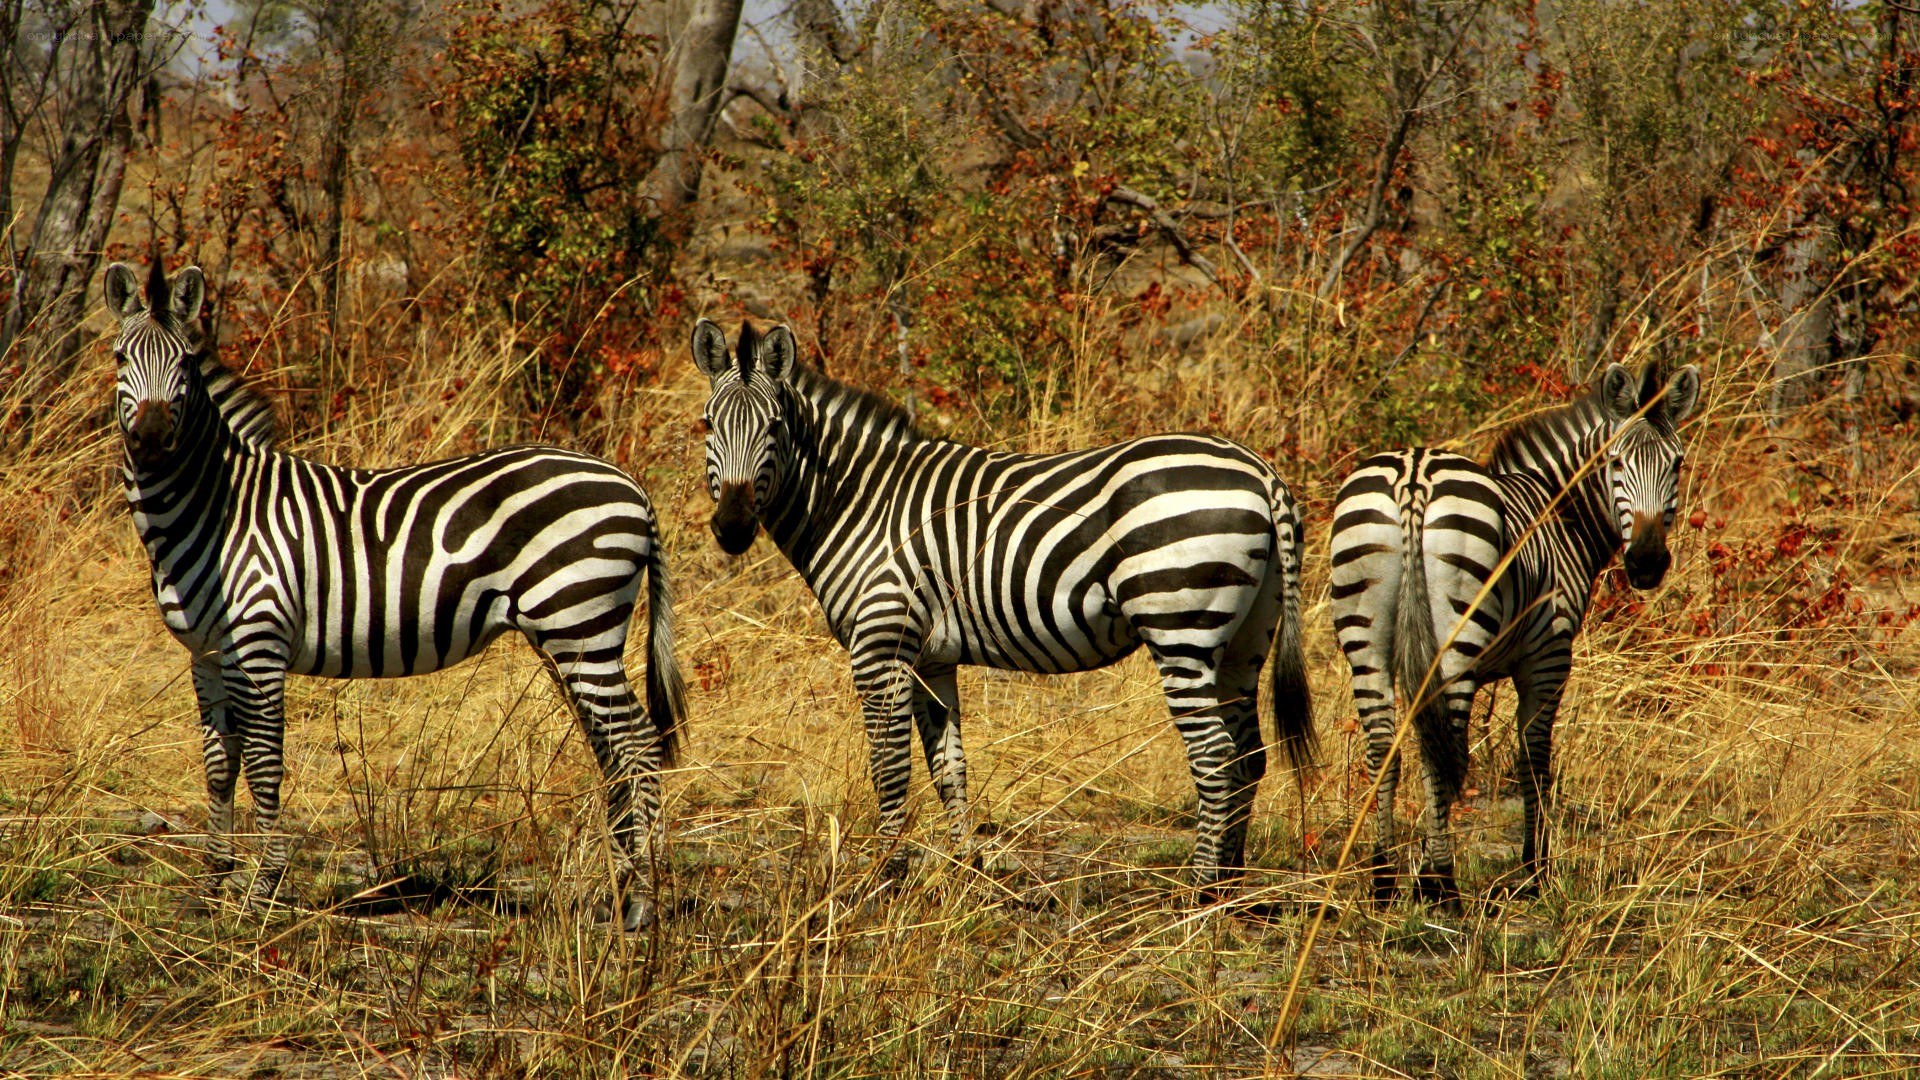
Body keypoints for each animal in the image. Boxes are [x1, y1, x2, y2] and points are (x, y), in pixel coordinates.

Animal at [103, 261, 688, 929]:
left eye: (184, 364)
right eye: (120, 357)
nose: (152, 438)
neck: (217, 507)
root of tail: (631, 485)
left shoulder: (259, 644)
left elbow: (265, 764)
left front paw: (262, 894)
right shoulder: (204, 653)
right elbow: (220, 765)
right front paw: (212, 886)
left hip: (580, 625)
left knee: (638, 746)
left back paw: (644, 901)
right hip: (573, 638)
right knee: (615, 748)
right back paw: (624, 888)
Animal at [689, 317, 1315, 889]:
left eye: (775, 428)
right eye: (707, 425)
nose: (732, 528)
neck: (860, 502)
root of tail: (1260, 472)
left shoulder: (881, 645)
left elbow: (889, 767)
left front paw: (885, 875)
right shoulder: (930, 658)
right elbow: (948, 766)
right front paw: (965, 868)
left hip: (1178, 623)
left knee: (1214, 758)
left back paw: (1199, 892)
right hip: (1243, 639)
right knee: (1247, 755)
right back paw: (1230, 887)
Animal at [1328, 361, 1701, 905]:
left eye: (1676, 465)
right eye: (1614, 463)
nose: (1648, 563)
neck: (1558, 515)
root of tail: (1414, 475)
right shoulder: (1548, 658)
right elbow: (1534, 759)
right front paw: (1534, 869)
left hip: (1365, 637)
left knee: (1384, 747)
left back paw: (1383, 878)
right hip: (1456, 639)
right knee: (1446, 750)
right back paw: (1442, 884)